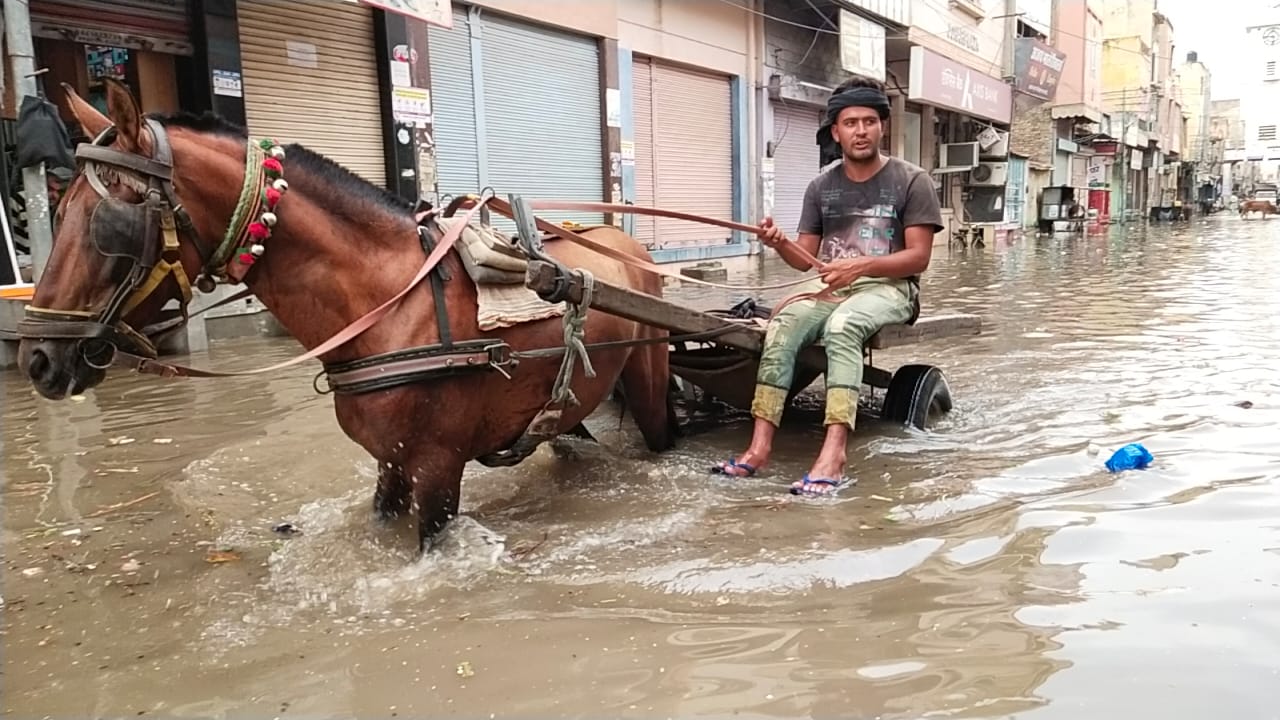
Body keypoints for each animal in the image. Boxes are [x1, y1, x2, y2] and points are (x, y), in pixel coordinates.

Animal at [17, 79, 680, 548]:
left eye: (108, 225)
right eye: (61, 209)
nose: (38, 357)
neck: (389, 303)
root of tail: (625, 245)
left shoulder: (437, 472)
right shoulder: (390, 465)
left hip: (649, 382)